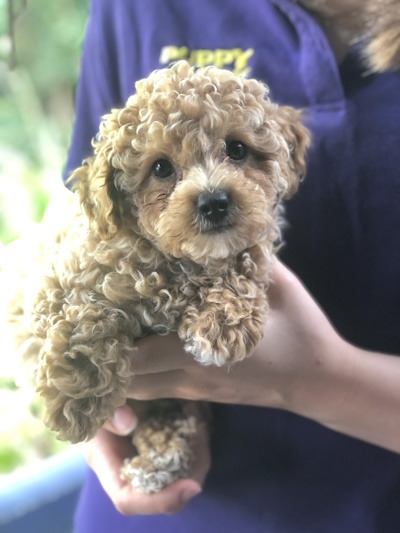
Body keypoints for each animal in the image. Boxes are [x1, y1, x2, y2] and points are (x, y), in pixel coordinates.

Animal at [6, 61, 310, 490]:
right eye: (161, 168)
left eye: (237, 149)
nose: (214, 202)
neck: (175, 265)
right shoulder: (53, 283)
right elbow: (83, 318)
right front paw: (77, 399)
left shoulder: (252, 246)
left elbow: (246, 259)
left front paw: (223, 321)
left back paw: (159, 459)